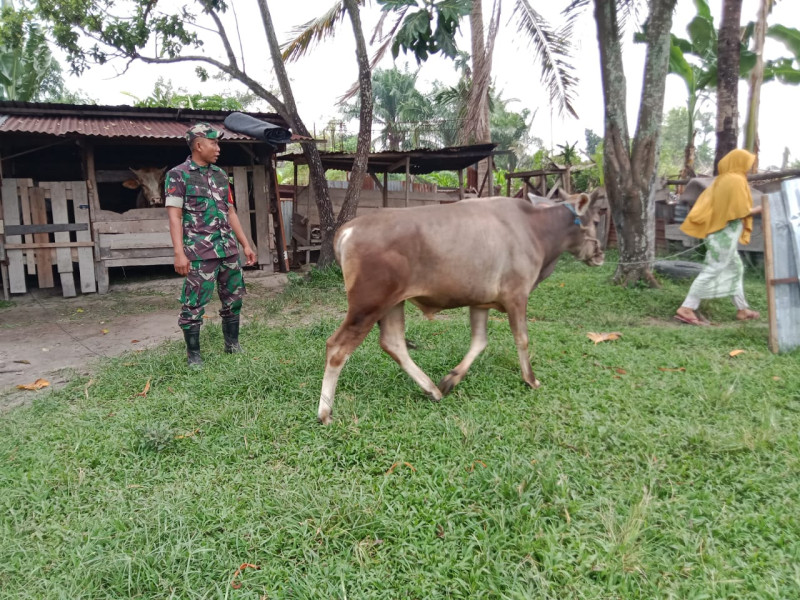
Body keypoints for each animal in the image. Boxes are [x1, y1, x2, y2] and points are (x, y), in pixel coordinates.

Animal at [316, 190, 604, 424]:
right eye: (597, 221)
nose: (600, 255)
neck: (536, 230)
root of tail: (348, 229)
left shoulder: (480, 302)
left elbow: (479, 341)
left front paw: (452, 378)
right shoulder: (517, 295)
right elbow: (522, 339)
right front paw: (530, 379)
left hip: (392, 303)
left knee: (393, 343)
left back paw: (432, 389)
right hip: (367, 305)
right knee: (337, 348)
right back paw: (325, 411)